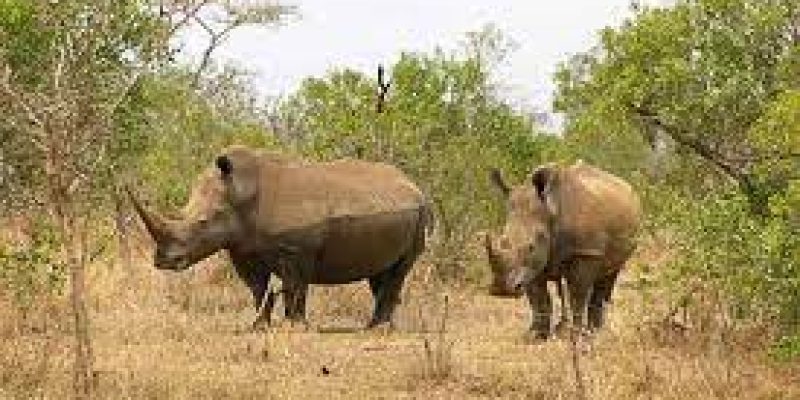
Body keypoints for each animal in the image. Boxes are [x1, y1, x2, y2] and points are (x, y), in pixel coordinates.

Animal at [129, 145, 433, 329]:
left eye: (202, 222)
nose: (162, 261)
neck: (240, 195)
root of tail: (414, 185)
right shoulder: (243, 248)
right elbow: (257, 288)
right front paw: (258, 326)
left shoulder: (295, 250)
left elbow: (295, 287)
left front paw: (295, 326)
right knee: (381, 272)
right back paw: (378, 325)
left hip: (421, 212)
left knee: (399, 270)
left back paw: (377, 329)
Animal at [487, 160, 641, 338]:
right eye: (502, 240)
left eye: (531, 247)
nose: (501, 290)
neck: (550, 210)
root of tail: (629, 188)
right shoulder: (531, 266)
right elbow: (538, 298)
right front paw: (535, 336)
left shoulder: (585, 252)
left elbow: (577, 296)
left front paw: (576, 335)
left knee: (609, 275)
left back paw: (594, 332)